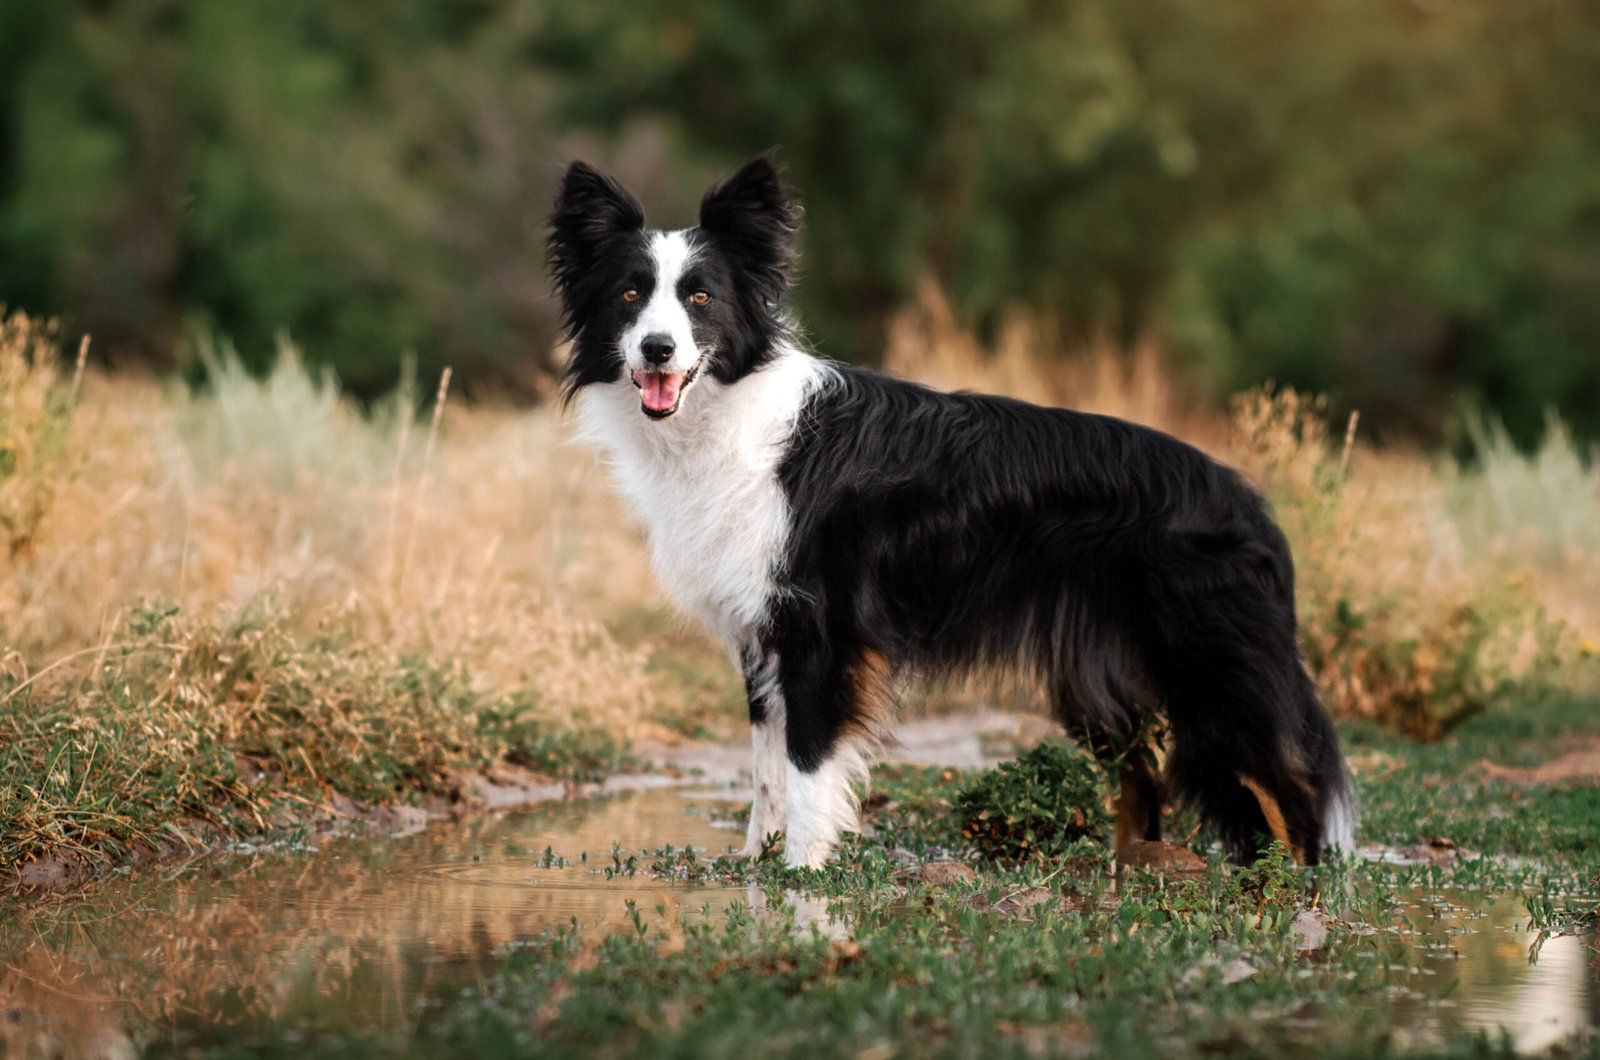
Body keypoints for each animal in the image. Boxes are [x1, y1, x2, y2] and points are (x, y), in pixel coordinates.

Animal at [547, 160, 1350, 871]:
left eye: (701, 299)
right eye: (629, 294)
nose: (657, 349)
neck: (726, 413)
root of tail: (1247, 501)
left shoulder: (820, 633)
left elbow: (805, 767)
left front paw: (802, 876)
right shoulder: (762, 634)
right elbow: (766, 768)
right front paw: (756, 868)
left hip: (1210, 662)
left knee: (1291, 782)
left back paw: (1295, 894)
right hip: (1099, 673)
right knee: (1144, 777)